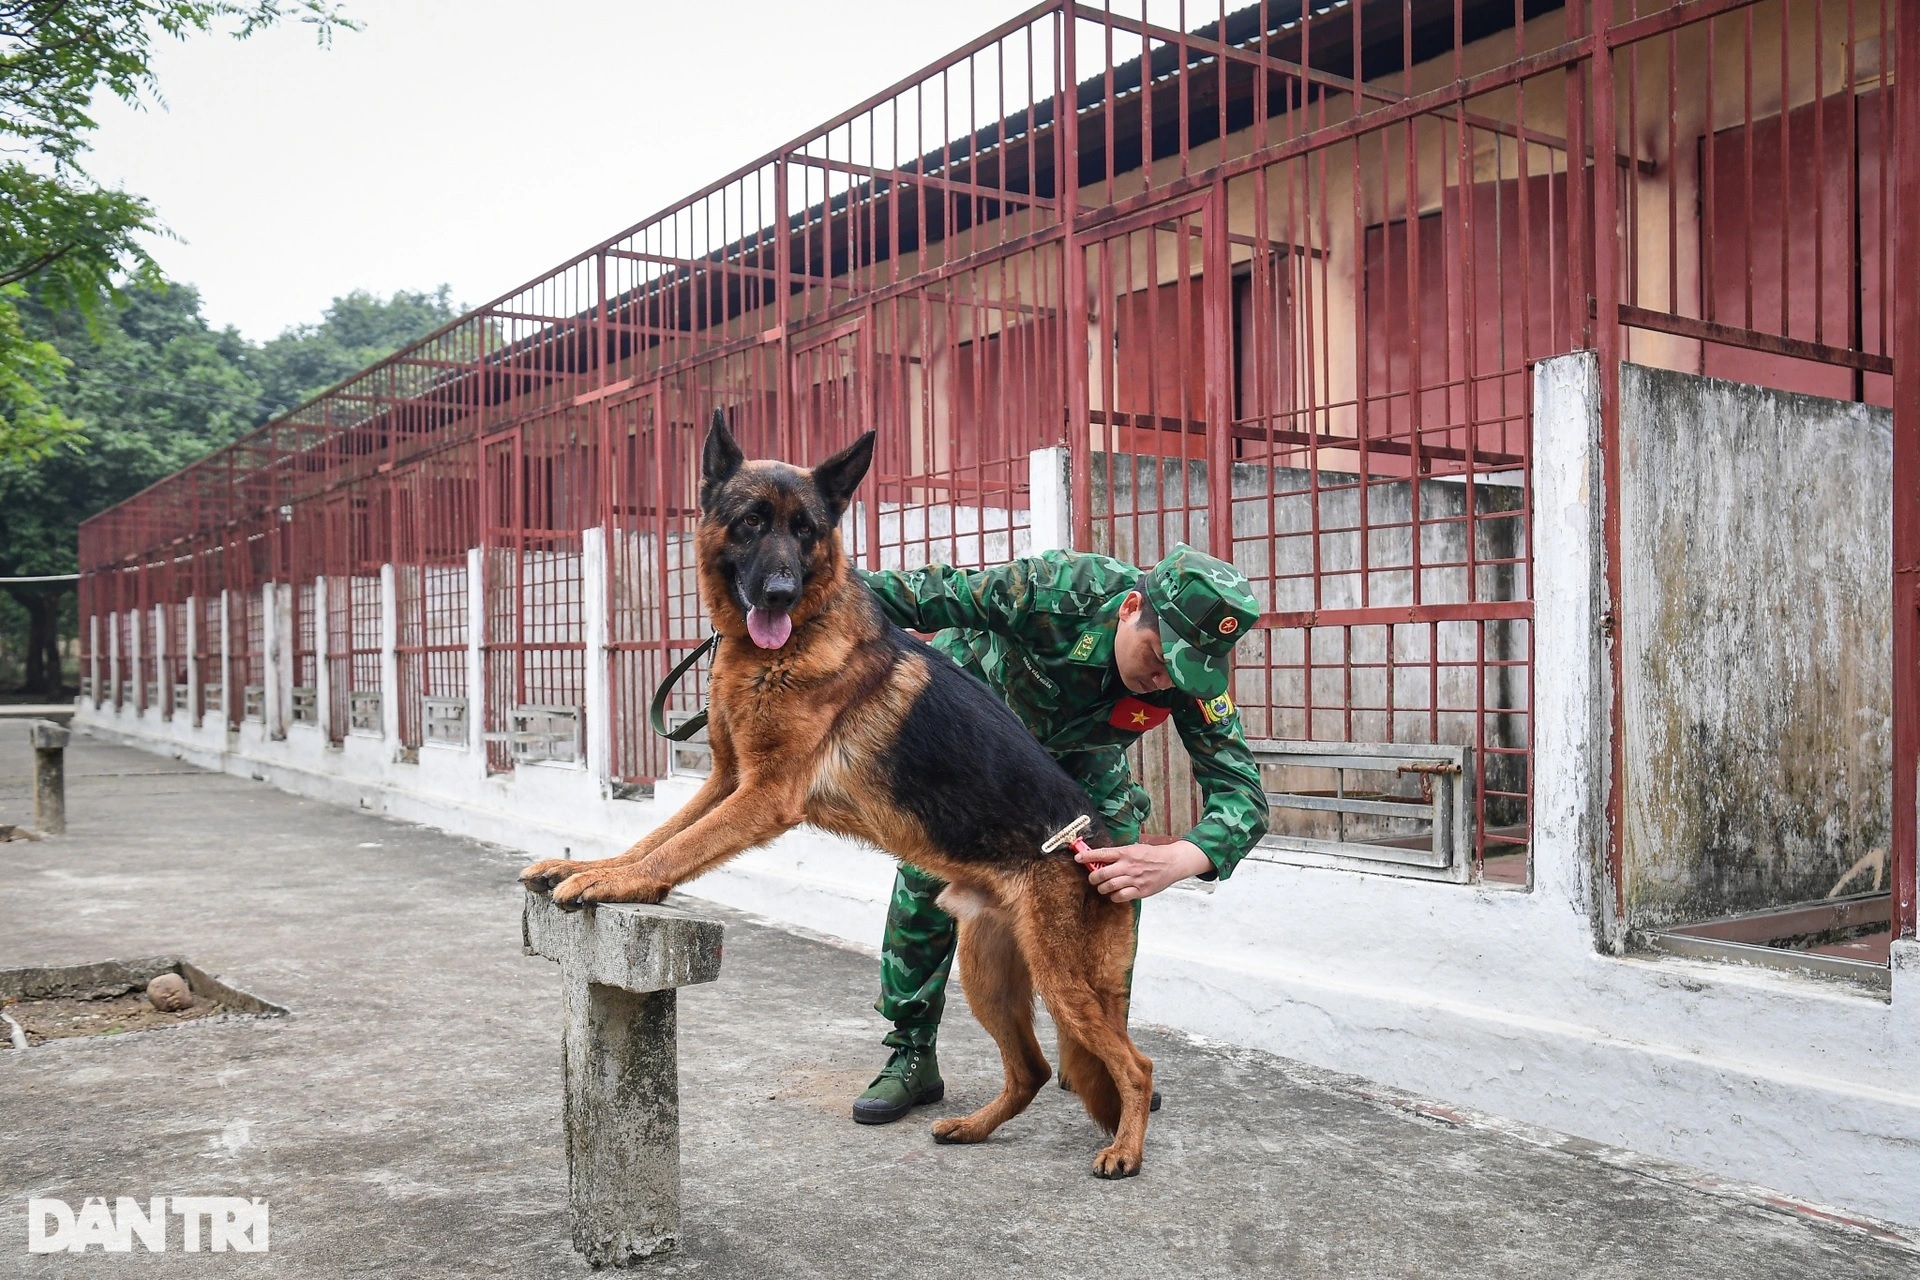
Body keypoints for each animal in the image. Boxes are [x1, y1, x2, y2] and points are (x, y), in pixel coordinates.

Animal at [518, 412, 1152, 1182]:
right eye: (751, 522)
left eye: (807, 529)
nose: (780, 593)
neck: (785, 646)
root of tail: (1108, 853)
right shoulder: (725, 781)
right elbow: (655, 836)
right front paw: (587, 867)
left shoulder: (762, 794)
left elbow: (677, 849)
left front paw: (615, 884)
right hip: (989, 975)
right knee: (1030, 1069)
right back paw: (973, 1127)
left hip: (1063, 981)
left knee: (1137, 1065)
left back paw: (1125, 1149)